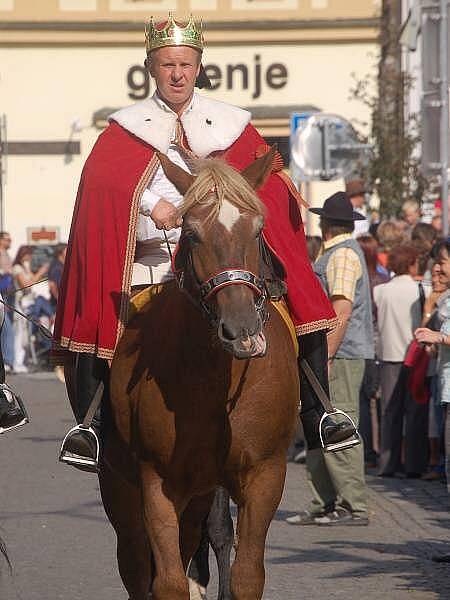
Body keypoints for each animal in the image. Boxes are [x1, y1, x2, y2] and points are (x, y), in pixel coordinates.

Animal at [100, 146, 300, 600]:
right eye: (190, 233)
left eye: (259, 230)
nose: (241, 329)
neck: (212, 384)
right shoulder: (156, 482)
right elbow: (168, 581)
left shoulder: (264, 476)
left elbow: (245, 577)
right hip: (124, 489)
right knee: (135, 561)